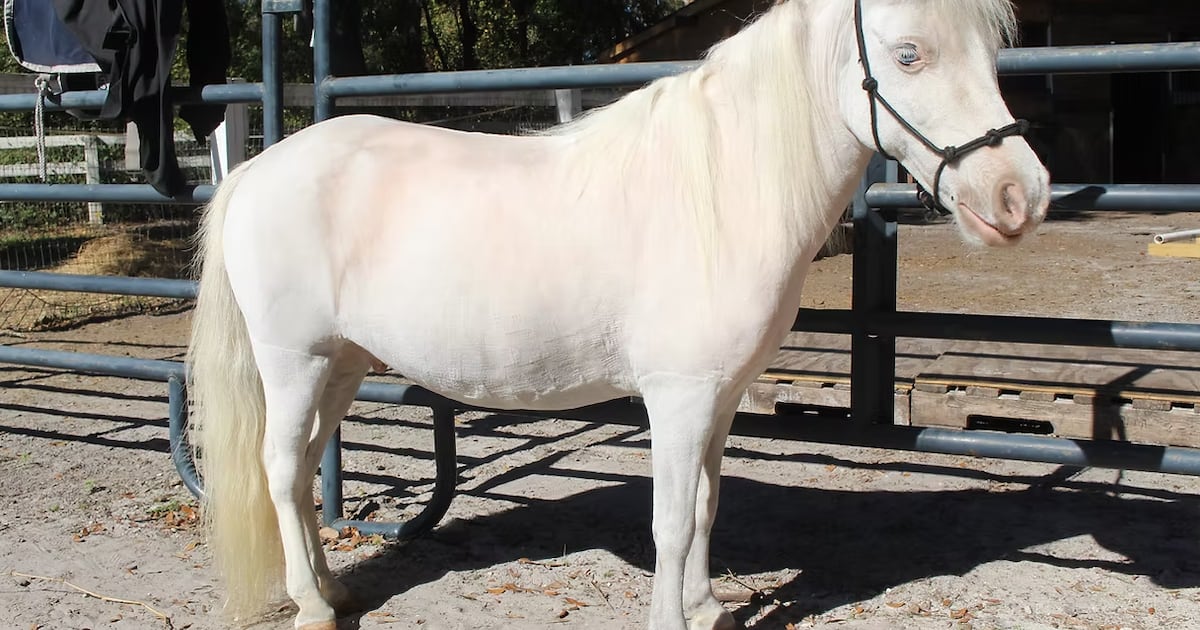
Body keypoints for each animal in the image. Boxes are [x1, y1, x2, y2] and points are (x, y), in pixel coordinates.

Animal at [186, 0, 1050, 628]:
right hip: (293, 361)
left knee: (301, 472)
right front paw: (673, 619)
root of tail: (258, 168)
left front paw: (706, 609)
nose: (1023, 195)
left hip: (341, 364)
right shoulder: (677, 398)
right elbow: (669, 521)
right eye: (908, 54)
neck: (724, 188)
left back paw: (332, 590)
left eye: (992, 52)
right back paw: (312, 607)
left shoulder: (718, 399)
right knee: (279, 469)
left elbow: (703, 506)